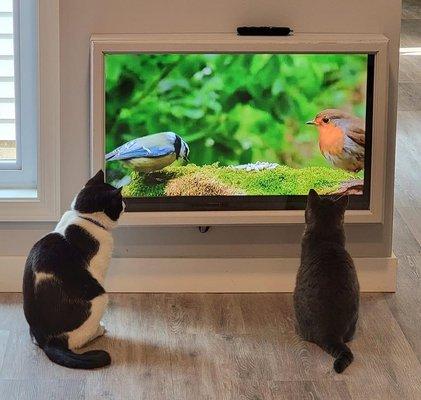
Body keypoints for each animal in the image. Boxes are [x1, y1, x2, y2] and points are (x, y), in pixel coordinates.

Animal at [23, 169, 124, 368]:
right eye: (120, 201)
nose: (125, 204)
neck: (85, 218)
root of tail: (48, 341)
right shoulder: (98, 270)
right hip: (100, 296)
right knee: (77, 341)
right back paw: (99, 330)